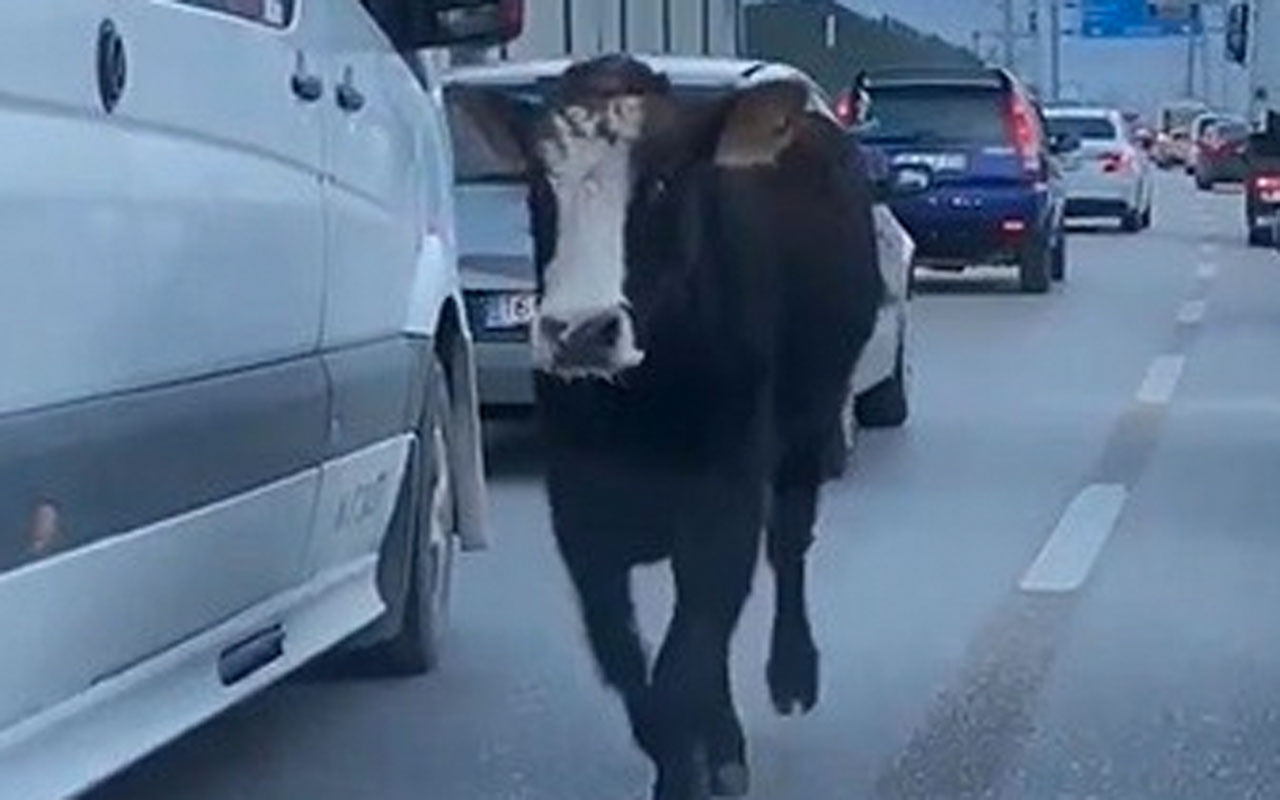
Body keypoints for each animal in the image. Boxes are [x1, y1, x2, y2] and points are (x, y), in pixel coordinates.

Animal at [468, 53, 880, 793]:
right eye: (538, 182)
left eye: (661, 181)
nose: (580, 332)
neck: (640, 407)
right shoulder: (579, 515)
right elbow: (630, 665)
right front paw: (686, 757)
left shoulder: (724, 501)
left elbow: (684, 663)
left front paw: (702, 762)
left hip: (810, 420)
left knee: (789, 545)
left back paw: (790, 675)